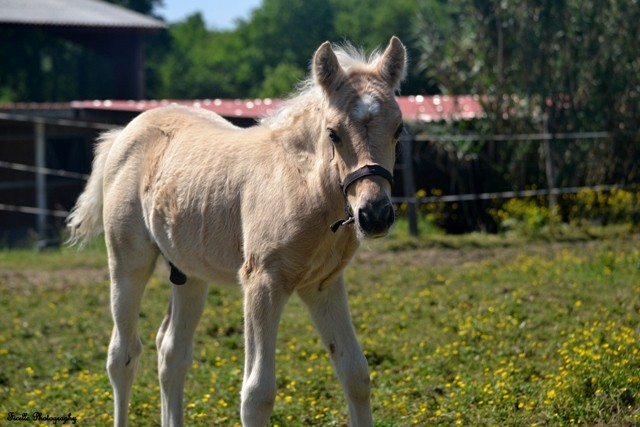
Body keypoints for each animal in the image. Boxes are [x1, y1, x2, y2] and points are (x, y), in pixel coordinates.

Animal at [67, 37, 408, 427]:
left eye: (399, 129)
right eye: (333, 133)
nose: (375, 214)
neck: (302, 185)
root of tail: (123, 133)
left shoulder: (323, 285)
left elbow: (355, 373)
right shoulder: (263, 282)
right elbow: (257, 394)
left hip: (189, 271)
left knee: (171, 351)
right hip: (127, 263)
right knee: (122, 355)